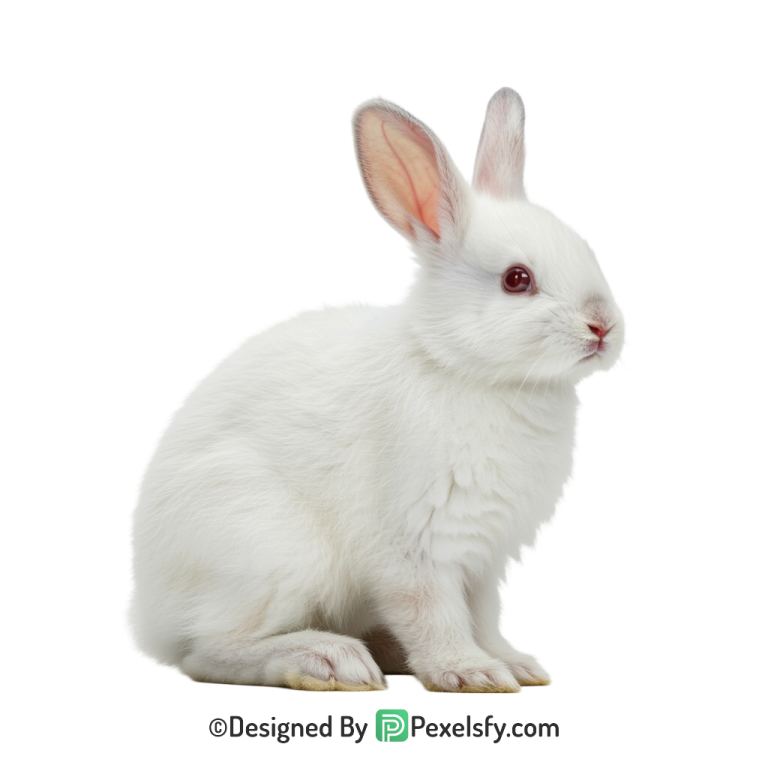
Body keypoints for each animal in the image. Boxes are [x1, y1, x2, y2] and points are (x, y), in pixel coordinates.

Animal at [122, 85, 627, 693]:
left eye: (585, 248)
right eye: (517, 280)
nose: (603, 327)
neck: (469, 370)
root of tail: (146, 612)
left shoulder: (487, 563)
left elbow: (485, 620)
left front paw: (518, 665)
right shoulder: (416, 548)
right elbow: (433, 614)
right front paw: (472, 672)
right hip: (275, 555)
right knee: (209, 650)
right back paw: (329, 660)